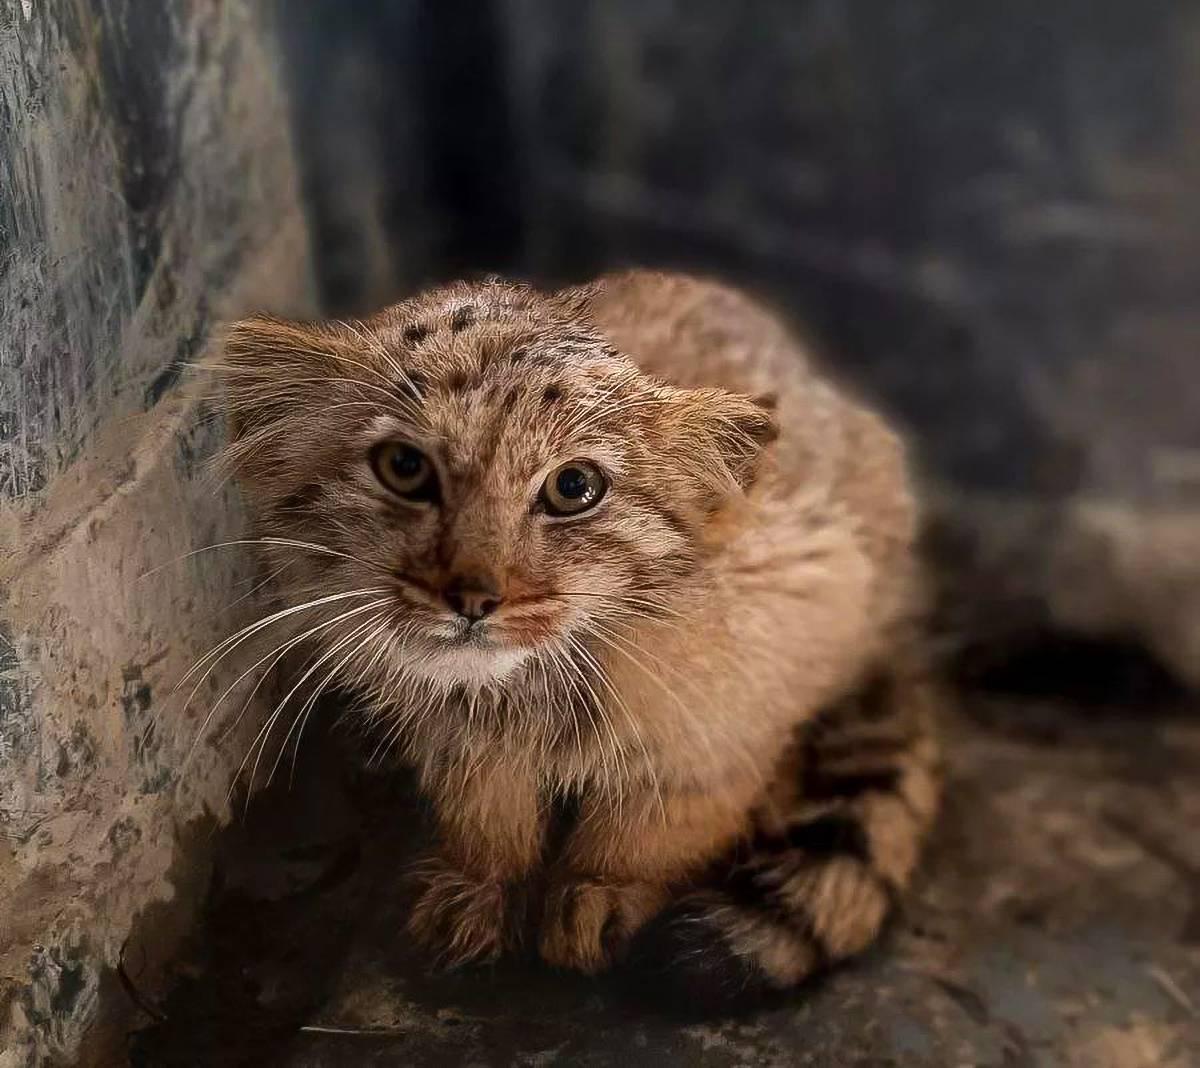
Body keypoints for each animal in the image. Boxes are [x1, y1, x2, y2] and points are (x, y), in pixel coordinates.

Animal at [220, 270, 940, 1003]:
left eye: (574, 487)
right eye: (403, 467)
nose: (473, 598)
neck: (529, 690)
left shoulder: (742, 696)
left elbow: (652, 824)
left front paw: (603, 894)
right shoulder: (458, 738)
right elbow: (486, 812)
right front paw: (479, 890)